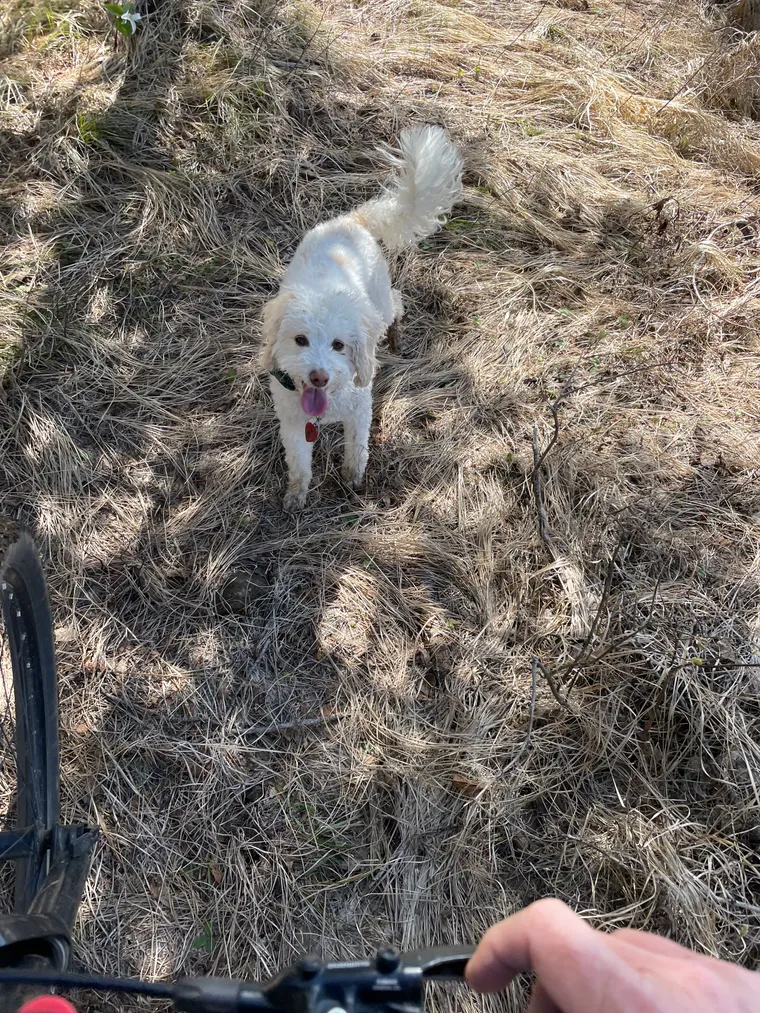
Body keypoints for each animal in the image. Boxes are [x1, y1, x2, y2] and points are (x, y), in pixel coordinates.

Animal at [261, 122, 464, 510]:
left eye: (339, 345)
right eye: (300, 340)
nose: (319, 376)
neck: (325, 407)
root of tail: (351, 220)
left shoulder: (358, 411)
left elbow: (357, 448)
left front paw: (353, 479)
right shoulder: (292, 423)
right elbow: (299, 464)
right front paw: (296, 495)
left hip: (380, 303)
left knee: (397, 303)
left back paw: (397, 335)